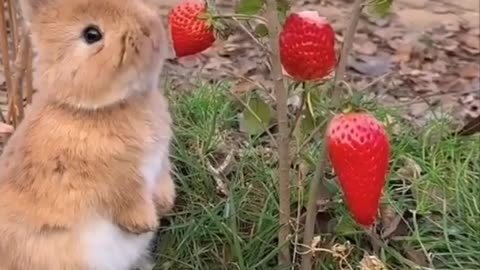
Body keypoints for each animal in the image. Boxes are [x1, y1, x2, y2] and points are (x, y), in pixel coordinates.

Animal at [0, 0, 176, 270]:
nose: (151, 31)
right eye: (91, 34)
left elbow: (162, 178)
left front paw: (166, 204)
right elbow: (126, 197)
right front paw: (145, 223)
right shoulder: (110, 179)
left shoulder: (159, 161)